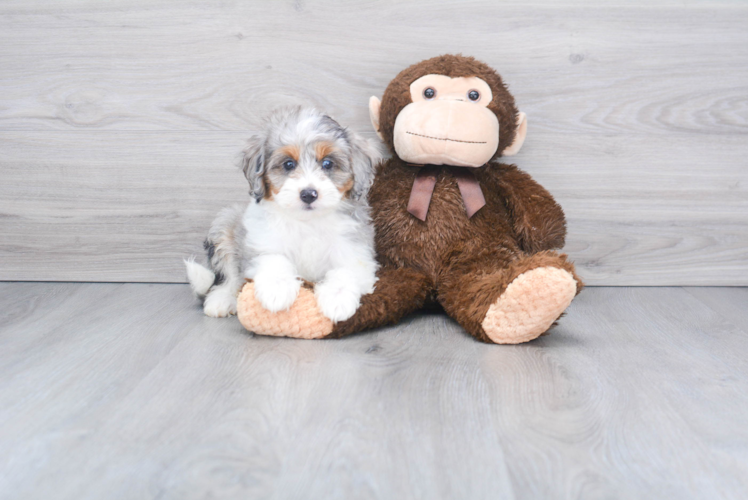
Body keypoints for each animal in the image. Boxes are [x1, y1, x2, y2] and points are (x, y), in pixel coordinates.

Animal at [182, 107, 380, 322]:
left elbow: (345, 270)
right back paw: (222, 300)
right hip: (225, 225)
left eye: (327, 164)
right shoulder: (262, 241)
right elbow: (274, 259)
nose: (308, 194)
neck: (307, 222)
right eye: (288, 164)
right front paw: (276, 290)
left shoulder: (354, 249)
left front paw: (338, 299)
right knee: (228, 276)